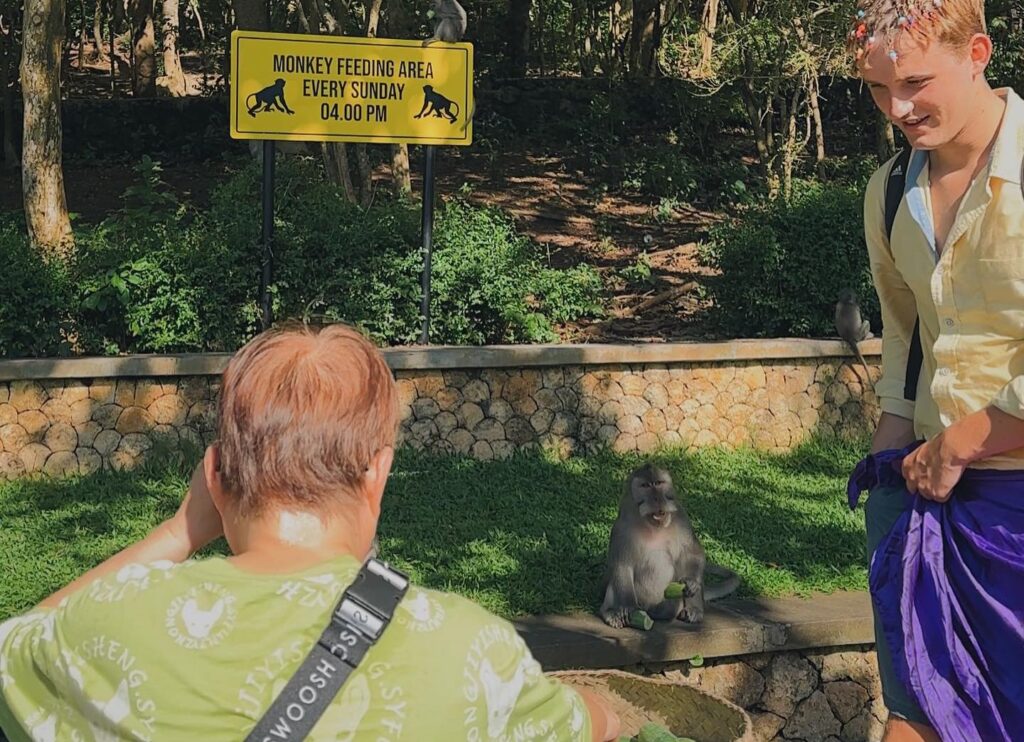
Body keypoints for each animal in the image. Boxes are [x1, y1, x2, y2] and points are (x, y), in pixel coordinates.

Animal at [598, 466, 741, 626]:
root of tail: (650, 611)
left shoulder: (682, 519)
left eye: (659, 483)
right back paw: (610, 612)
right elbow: (622, 565)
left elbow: (693, 552)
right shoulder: (621, 527)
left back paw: (693, 609)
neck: (652, 527)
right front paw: (628, 607)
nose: (657, 498)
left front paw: (691, 582)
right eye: (645, 486)